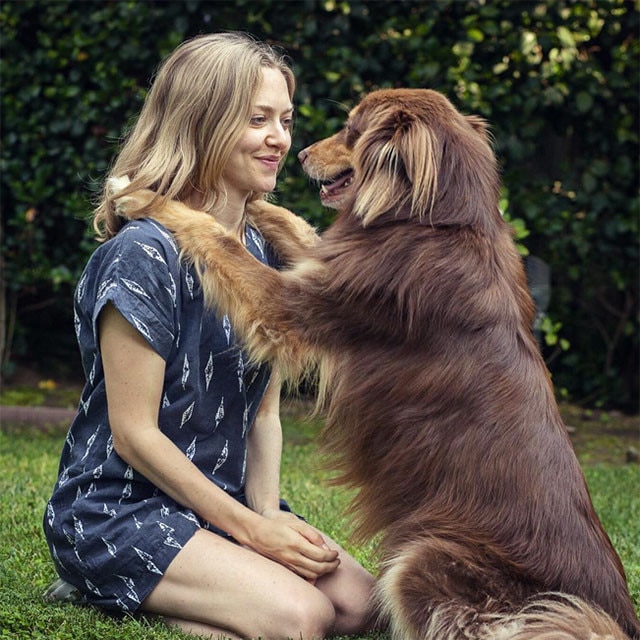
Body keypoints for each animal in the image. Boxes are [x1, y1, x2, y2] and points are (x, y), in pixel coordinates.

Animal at [115, 87, 640, 636]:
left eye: (351, 129)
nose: (299, 154)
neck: (435, 220)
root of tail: (616, 618)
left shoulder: (298, 307)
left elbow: (220, 239)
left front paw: (144, 196)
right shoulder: (329, 264)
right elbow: (294, 226)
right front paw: (255, 202)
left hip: (425, 560)